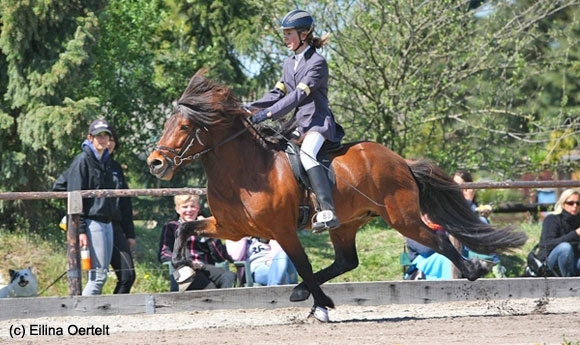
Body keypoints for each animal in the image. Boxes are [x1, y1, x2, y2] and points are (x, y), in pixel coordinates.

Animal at [147, 70, 528, 320]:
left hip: (401, 217)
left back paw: (473, 269)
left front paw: (323, 305)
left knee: (438, 239)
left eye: (184, 127)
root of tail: (399, 160)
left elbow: (302, 264)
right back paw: (304, 292)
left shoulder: (282, 230)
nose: (155, 163)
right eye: (166, 124)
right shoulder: (231, 227)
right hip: (347, 223)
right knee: (348, 260)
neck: (244, 172)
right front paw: (181, 266)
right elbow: (185, 227)